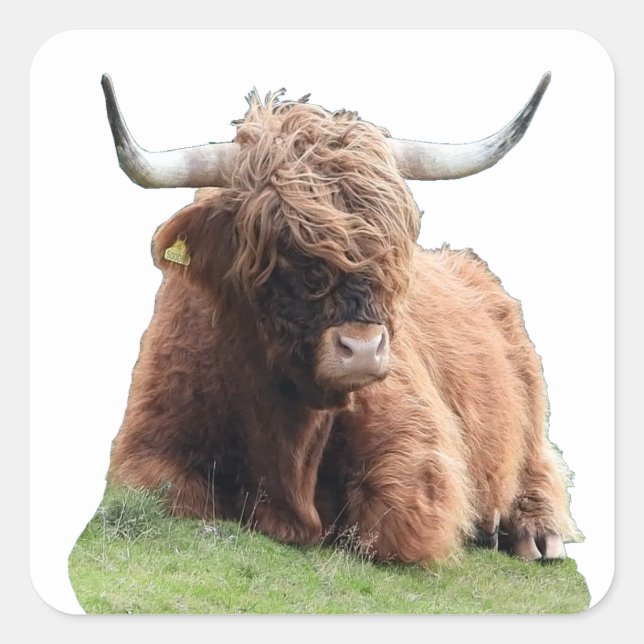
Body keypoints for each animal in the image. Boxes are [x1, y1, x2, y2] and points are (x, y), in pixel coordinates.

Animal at [101, 73, 581, 564]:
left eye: (392, 243)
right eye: (279, 247)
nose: (364, 350)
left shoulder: (417, 454)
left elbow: (385, 526)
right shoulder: (144, 444)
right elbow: (169, 493)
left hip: (530, 405)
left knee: (538, 463)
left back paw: (534, 534)